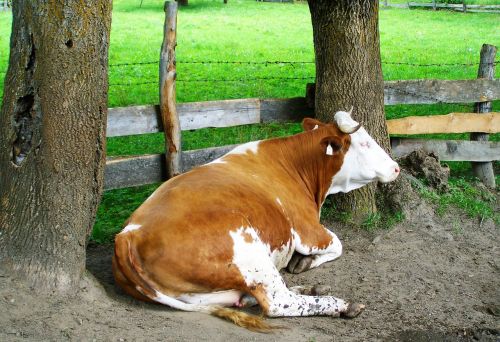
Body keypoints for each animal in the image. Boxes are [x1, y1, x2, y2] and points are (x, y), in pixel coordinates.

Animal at [112, 110, 398, 332]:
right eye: (364, 144)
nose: (395, 167)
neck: (296, 164)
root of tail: (128, 234)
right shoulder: (308, 230)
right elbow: (338, 244)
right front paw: (306, 261)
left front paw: (303, 264)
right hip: (250, 252)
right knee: (276, 301)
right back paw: (341, 304)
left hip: (203, 294)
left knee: (247, 297)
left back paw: (311, 288)